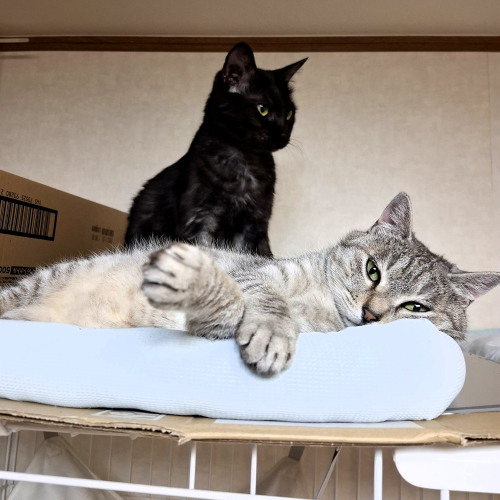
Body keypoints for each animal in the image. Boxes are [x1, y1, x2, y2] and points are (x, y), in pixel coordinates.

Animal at [1, 192, 499, 376]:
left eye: (416, 308)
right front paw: (273, 332)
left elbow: (225, 309)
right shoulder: (255, 272)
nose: (371, 314)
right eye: (373, 270)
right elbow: (257, 295)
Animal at [124, 42, 307, 257]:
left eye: (289, 114)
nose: (283, 135)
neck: (246, 162)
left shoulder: (256, 222)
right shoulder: (201, 218)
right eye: (263, 109)